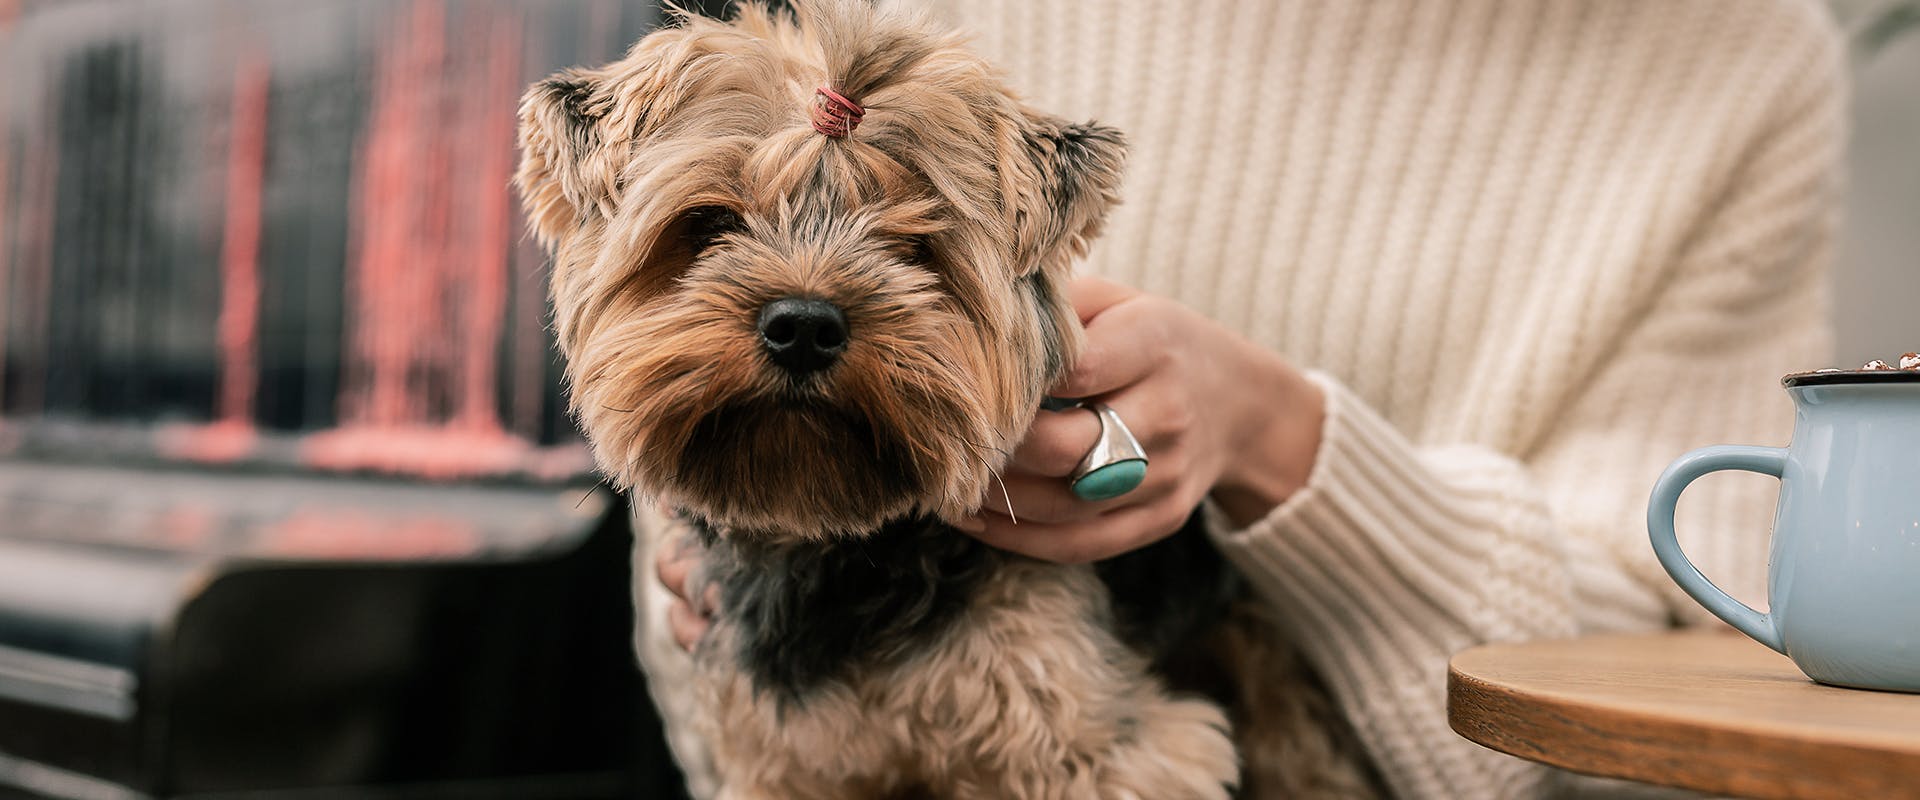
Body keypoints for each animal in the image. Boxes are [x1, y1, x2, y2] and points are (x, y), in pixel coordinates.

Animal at [510, 3, 1382, 794]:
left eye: (914, 246)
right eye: (709, 223)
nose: (803, 325)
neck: (834, 545)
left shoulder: (1105, 751)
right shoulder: (781, 760)